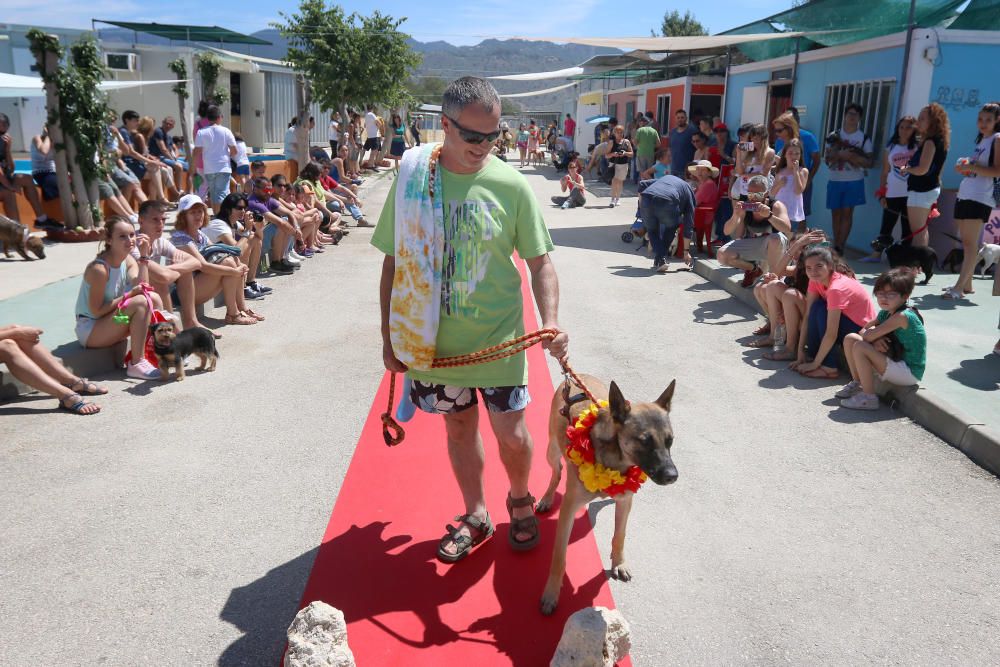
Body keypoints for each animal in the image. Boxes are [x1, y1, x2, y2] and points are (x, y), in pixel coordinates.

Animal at [540, 376, 680, 616]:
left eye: (669, 441)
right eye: (645, 441)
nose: (673, 476)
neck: (616, 459)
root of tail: (577, 376)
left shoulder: (625, 502)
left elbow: (619, 536)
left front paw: (619, 563)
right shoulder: (568, 510)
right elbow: (559, 557)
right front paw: (551, 593)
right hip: (552, 450)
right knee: (556, 472)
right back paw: (547, 498)